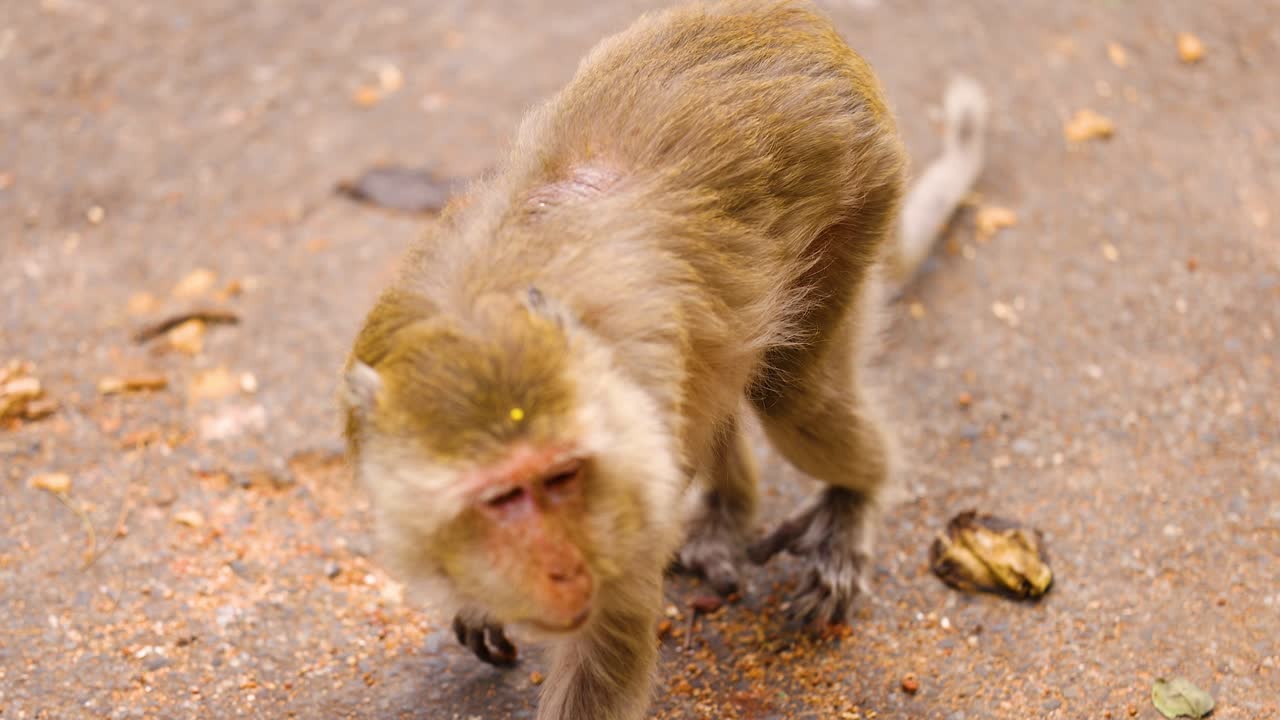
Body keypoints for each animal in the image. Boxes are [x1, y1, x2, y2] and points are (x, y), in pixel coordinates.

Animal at [338, 2, 988, 719]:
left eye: (562, 477)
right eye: (503, 498)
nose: (566, 567)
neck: (480, 305)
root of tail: (792, 22)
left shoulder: (628, 475)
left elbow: (605, 652)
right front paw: (481, 598)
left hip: (860, 195)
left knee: (791, 393)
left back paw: (852, 502)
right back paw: (731, 509)